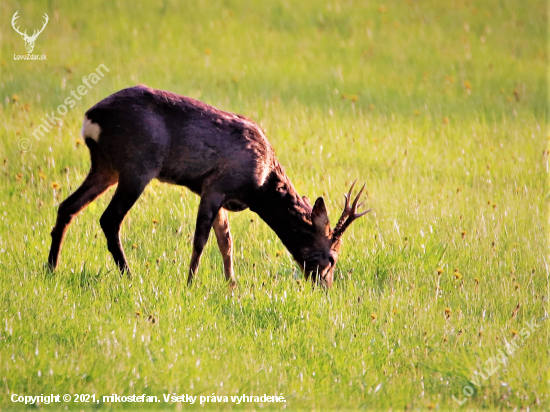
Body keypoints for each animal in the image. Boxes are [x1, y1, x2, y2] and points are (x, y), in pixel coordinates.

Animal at [47, 85, 374, 288]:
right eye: (332, 258)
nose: (325, 287)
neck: (261, 186)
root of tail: (91, 118)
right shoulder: (215, 184)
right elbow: (201, 239)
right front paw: (190, 283)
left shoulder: (221, 196)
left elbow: (226, 242)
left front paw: (232, 285)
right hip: (137, 165)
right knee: (109, 218)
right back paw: (129, 275)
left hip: (106, 167)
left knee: (67, 206)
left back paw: (51, 268)